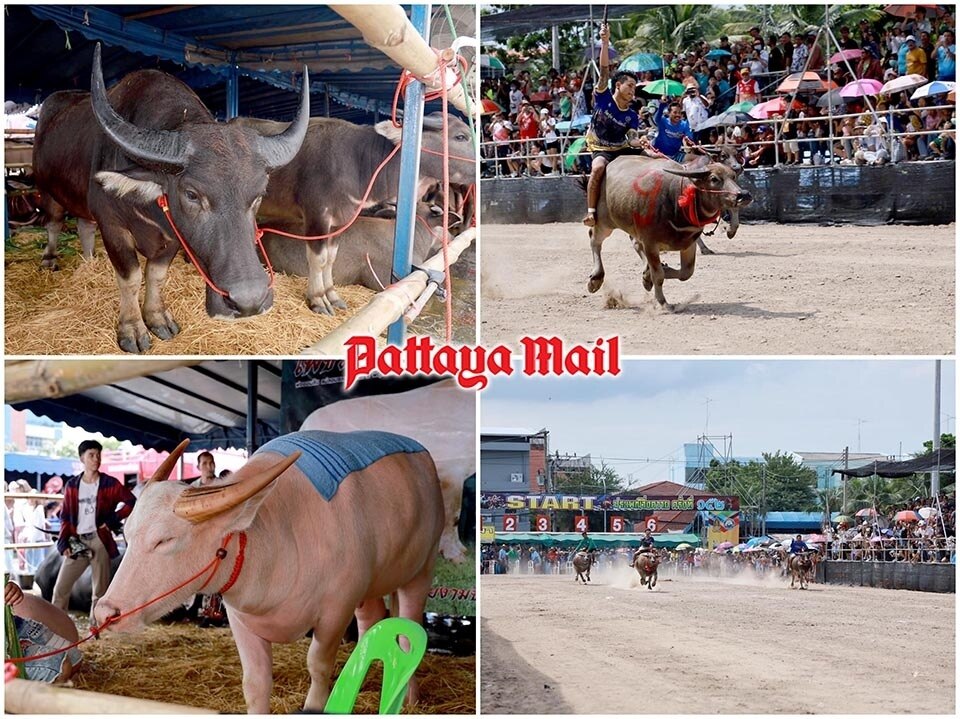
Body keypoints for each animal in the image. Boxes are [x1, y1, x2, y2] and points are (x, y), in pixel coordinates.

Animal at [32, 43, 308, 352]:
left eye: (259, 195)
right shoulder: (112, 225)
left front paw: (157, 319)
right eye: (192, 194)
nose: (249, 300)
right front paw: (132, 330)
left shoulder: (173, 235)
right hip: (47, 188)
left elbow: (156, 274)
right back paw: (49, 260)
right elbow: (130, 277)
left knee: (84, 225)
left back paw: (90, 260)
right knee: (54, 223)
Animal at [94, 430, 446, 712]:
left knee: (409, 631)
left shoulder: (335, 612)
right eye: (128, 535)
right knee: (371, 618)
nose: (104, 613)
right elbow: (256, 683)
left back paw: (410, 697)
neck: (278, 544)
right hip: (371, 584)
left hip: (422, 570)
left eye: (164, 540)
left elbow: (318, 667)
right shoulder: (241, 620)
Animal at [236, 113, 476, 316]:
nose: (479, 165)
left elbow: (330, 259)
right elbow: (318, 259)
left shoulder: (340, 221)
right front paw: (318, 300)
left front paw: (332, 296)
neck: (357, 162)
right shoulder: (317, 216)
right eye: (460, 136)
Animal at [580, 158, 752, 310]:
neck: (677, 200)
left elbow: (685, 273)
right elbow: (659, 275)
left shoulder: (688, 244)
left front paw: (648, 276)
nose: (743, 195)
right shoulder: (651, 243)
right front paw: (663, 302)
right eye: (714, 179)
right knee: (594, 240)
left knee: (635, 244)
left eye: (733, 176)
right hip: (605, 222)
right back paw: (595, 279)